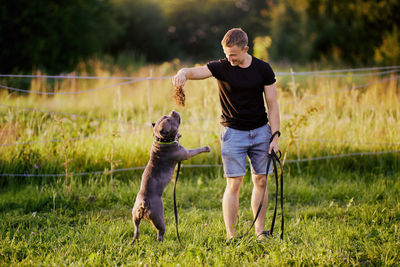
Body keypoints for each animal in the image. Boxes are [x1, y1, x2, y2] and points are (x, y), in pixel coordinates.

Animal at [132, 110, 212, 244]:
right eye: (169, 120)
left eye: (167, 116)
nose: (173, 111)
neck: (161, 140)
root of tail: (143, 203)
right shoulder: (186, 153)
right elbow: (196, 150)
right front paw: (206, 148)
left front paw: (178, 135)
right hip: (158, 218)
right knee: (160, 233)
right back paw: (162, 242)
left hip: (135, 215)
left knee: (136, 229)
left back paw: (135, 240)